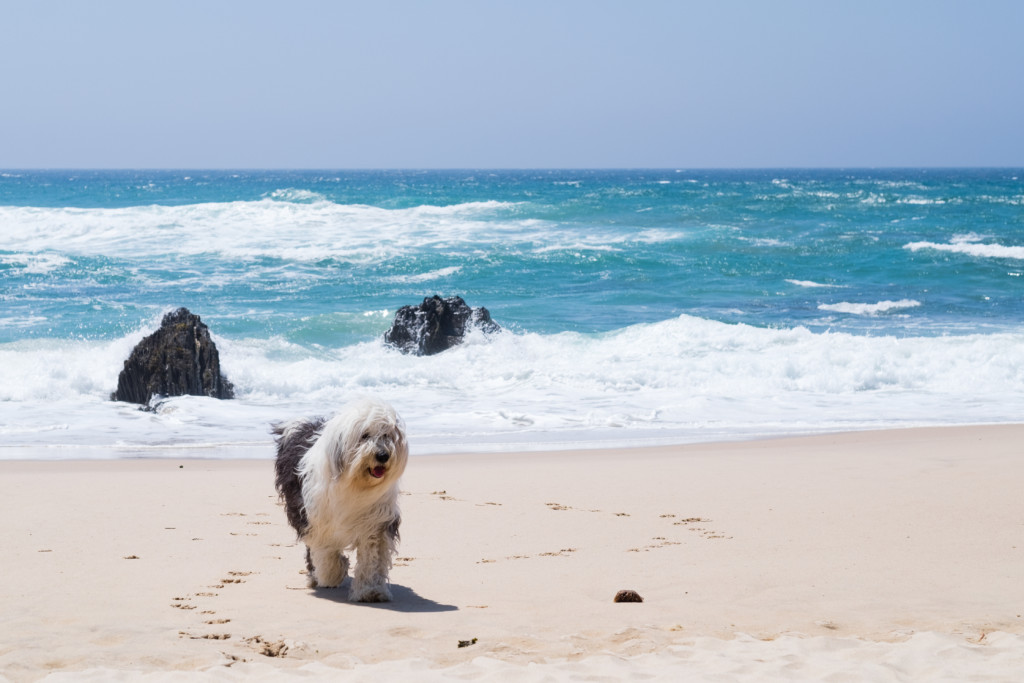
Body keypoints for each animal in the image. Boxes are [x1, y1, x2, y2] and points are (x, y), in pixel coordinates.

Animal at [276, 397, 411, 602]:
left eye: (387, 435)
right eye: (364, 435)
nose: (382, 455)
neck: (354, 483)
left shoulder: (376, 522)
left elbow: (372, 557)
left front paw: (371, 590)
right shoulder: (317, 519)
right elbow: (325, 550)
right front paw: (331, 574)